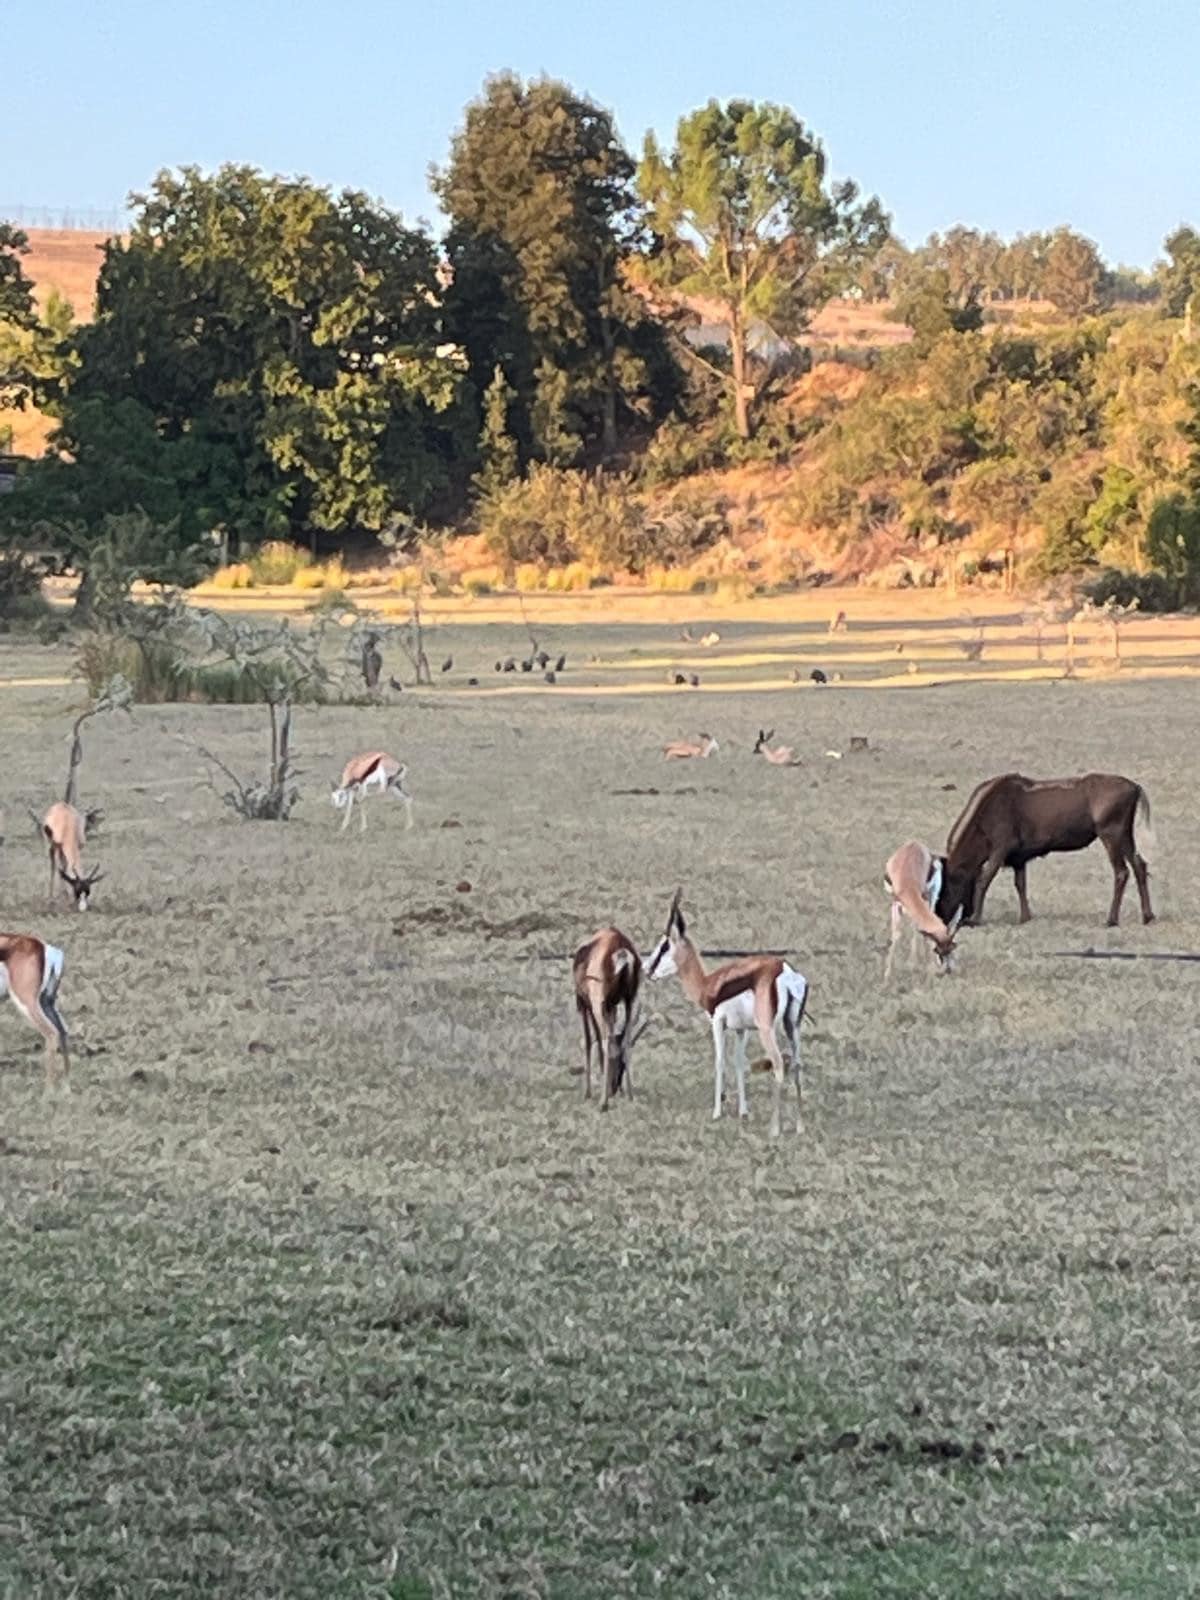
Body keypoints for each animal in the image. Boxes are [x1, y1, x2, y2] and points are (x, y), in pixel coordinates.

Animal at [0, 934, 70, 1088]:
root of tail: (45, 947)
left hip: (27, 1002)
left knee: (51, 1033)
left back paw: (48, 1088)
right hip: (46, 1002)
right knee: (62, 1030)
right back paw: (67, 1081)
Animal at [572, 928, 649, 1113]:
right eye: (620, 1064)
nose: (615, 1087)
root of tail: (619, 945)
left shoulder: (583, 1003)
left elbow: (589, 1041)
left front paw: (588, 1093)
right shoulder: (613, 1006)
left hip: (598, 1002)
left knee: (607, 1042)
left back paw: (603, 1103)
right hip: (629, 1001)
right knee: (625, 1041)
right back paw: (630, 1096)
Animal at [649, 889, 809, 1139]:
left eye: (664, 946)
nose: (647, 969)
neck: (708, 985)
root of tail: (785, 971)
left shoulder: (718, 1023)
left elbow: (719, 1061)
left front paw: (716, 1113)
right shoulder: (741, 1029)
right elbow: (738, 1063)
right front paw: (743, 1112)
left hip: (767, 1030)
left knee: (778, 1064)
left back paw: (774, 1129)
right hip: (793, 1025)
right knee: (798, 1064)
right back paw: (800, 1127)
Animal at [889, 832, 966, 979]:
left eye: (952, 948)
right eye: (938, 951)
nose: (948, 970)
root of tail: (916, 843)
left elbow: (916, 930)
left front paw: (915, 966)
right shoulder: (895, 902)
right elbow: (896, 934)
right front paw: (887, 976)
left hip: (931, 896)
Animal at [940, 771, 1158, 928]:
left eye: (947, 888)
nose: (943, 917)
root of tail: (1135, 788)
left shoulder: (1000, 850)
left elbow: (984, 880)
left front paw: (975, 919)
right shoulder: (1019, 858)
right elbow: (1020, 884)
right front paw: (1025, 917)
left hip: (1111, 835)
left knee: (1121, 872)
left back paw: (1111, 919)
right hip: (1124, 836)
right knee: (1139, 865)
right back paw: (1147, 916)